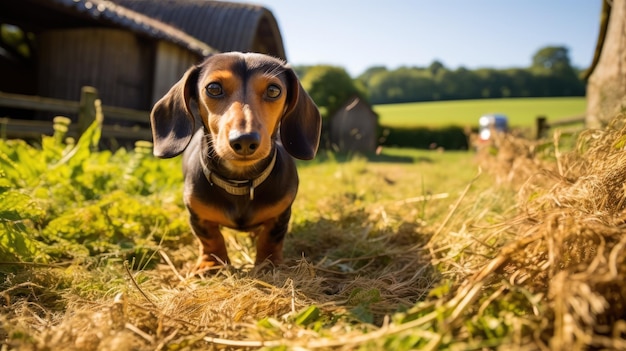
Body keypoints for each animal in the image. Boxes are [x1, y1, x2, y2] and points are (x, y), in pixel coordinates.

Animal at [149, 51, 320, 270]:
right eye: (213, 88)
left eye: (274, 90)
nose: (245, 140)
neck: (240, 182)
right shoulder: (197, 214)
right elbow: (210, 238)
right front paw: (211, 264)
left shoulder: (280, 215)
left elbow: (270, 238)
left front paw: (269, 263)